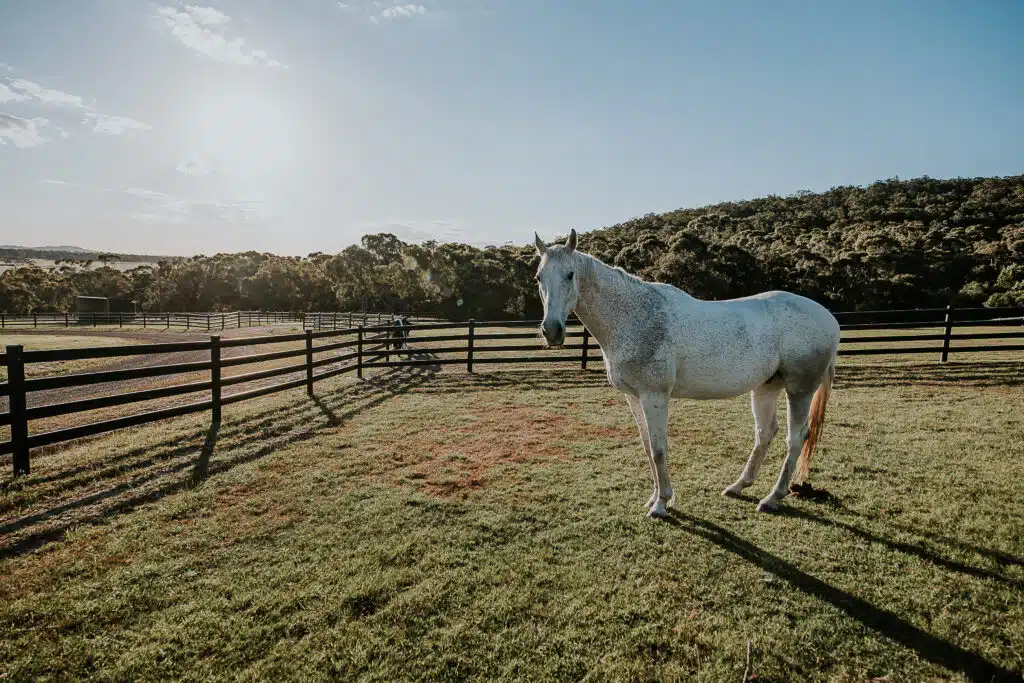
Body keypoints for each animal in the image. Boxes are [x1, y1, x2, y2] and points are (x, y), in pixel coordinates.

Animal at [533, 229, 840, 518]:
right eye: (538, 278)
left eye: (570, 274)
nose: (552, 331)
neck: (636, 317)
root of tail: (829, 318)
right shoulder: (634, 397)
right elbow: (648, 447)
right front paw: (653, 498)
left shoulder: (654, 396)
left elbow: (659, 449)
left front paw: (661, 504)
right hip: (765, 387)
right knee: (765, 433)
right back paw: (738, 486)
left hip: (800, 390)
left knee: (796, 438)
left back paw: (772, 498)